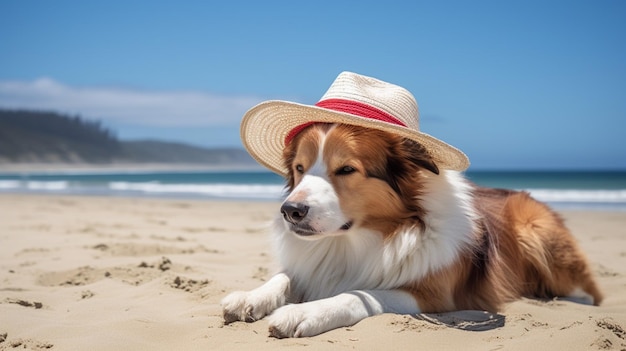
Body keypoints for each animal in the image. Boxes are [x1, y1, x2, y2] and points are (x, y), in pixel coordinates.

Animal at [222, 123, 604, 338]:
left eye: (346, 169)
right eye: (300, 168)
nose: (290, 211)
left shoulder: (436, 295)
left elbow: (360, 293)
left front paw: (306, 312)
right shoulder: (313, 264)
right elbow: (283, 277)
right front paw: (250, 297)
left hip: (534, 231)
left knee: (589, 293)